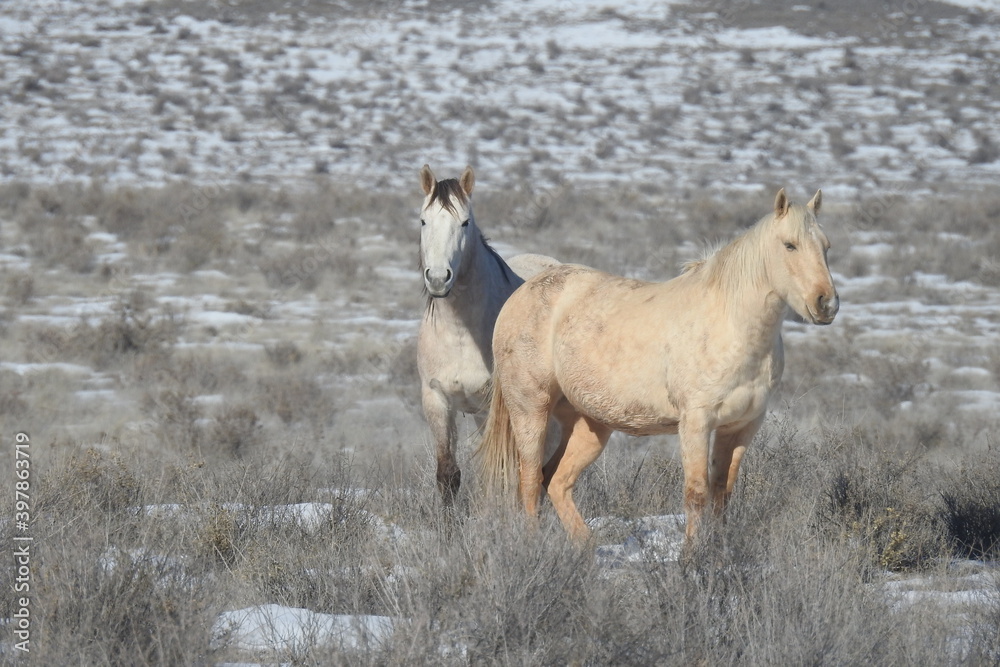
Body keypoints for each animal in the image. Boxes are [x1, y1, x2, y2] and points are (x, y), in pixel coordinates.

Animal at [417, 164, 559, 507]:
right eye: (423, 220)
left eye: (465, 222)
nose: (438, 278)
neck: (460, 334)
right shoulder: (436, 400)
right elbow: (448, 473)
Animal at [477, 188, 838, 543]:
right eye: (789, 245)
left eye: (826, 246)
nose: (827, 304)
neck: (731, 326)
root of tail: (524, 291)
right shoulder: (696, 423)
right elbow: (696, 495)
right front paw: (691, 556)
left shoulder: (741, 426)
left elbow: (722, 493)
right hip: (531, 411)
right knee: (529, 481)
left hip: (588, 425)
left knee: (555, 481)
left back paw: (586, 547)